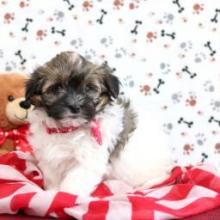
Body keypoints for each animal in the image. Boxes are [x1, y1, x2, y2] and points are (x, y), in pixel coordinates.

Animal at [24, 52, 174, 196]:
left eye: (89, 88)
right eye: (56, 88)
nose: (75, 106)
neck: (67, 129)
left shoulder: (89, 161)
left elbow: (74, 182)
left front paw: (65, 195)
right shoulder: (49, 158)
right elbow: (52, 176)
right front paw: (52, 192)